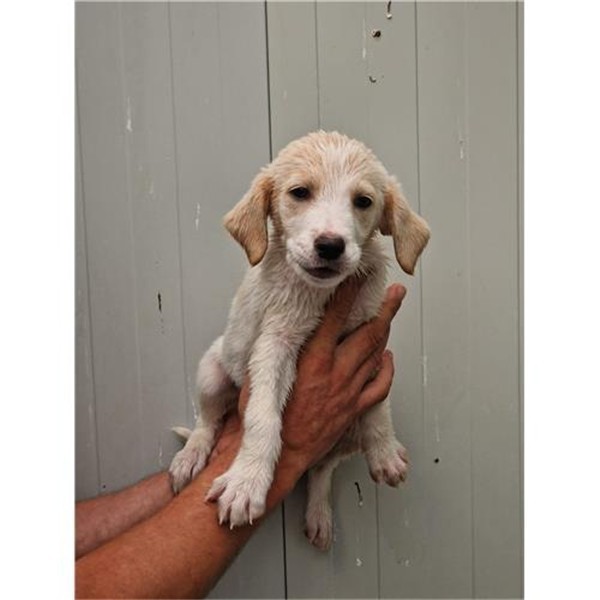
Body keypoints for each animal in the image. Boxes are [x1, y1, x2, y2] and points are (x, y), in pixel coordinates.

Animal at [169, 131, 429, 550]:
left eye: (363, 201)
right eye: (300, 192)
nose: (331, 245)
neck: (322, 295)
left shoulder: (370, 336)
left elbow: (378, 406)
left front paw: (385, 450)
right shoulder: (275, 343)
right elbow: (262, 417)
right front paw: (246, 482)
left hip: (345, 436)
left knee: (322, 465)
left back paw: (319, 516)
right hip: (211, 371)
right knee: (206, 421)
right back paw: (189, 457)